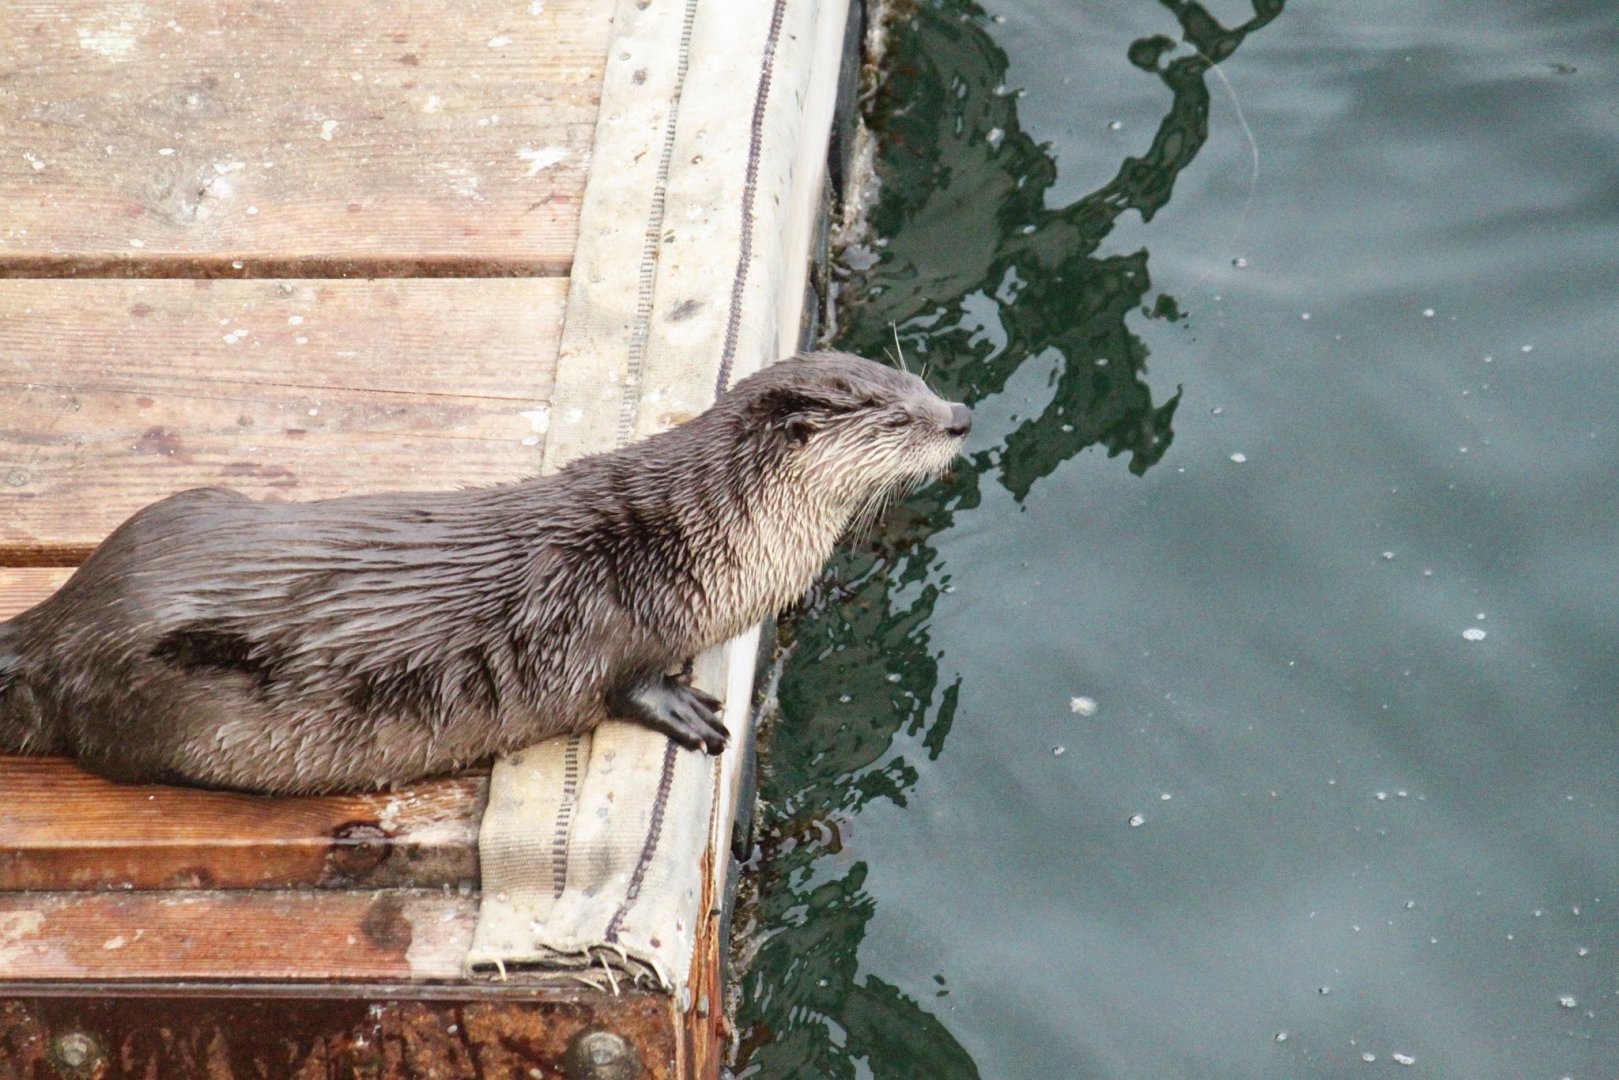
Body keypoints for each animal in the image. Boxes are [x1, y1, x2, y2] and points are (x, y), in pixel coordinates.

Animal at [0, 351, 971, 794]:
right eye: (894, 417)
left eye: (914, 381)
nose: (960, 416)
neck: (699, 538)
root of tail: (59, 625)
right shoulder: (604, 624)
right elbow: (620, 682)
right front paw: (685, 711)